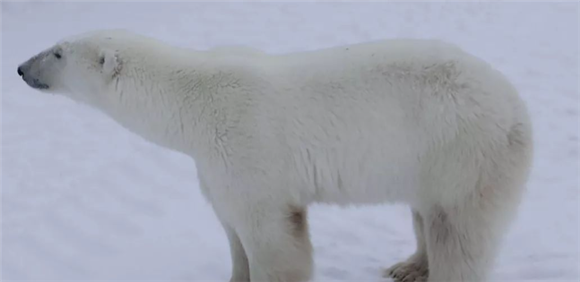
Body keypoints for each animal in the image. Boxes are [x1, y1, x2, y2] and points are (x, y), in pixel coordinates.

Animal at [18, 29, 536, 280]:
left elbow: (272, 241)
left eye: (58, 53)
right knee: (426, 215)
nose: (21, 67)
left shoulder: (247, 150)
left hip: (463, 150)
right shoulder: (215, 168)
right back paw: (408, 267)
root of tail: (517, 107)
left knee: (459, 232)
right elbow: (232, 232)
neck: (191, 101)